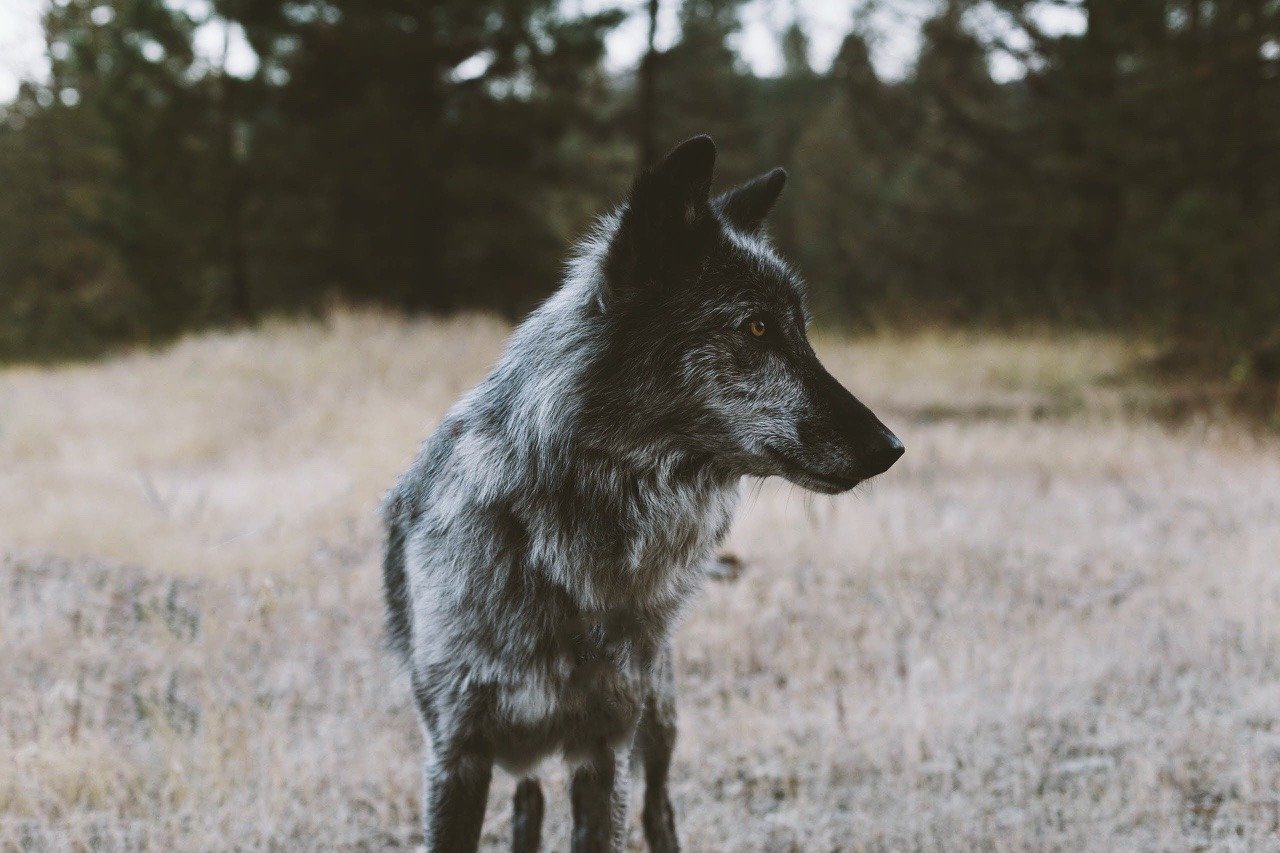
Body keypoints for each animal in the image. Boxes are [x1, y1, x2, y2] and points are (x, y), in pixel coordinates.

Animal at [378, 136, 901, 845]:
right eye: (757, 328)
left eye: (801, 328)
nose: (891, 447)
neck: (563, 548)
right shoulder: (456, 755)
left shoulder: (605, 750)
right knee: (529, 798)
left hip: (656, 728)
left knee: (658, 810)